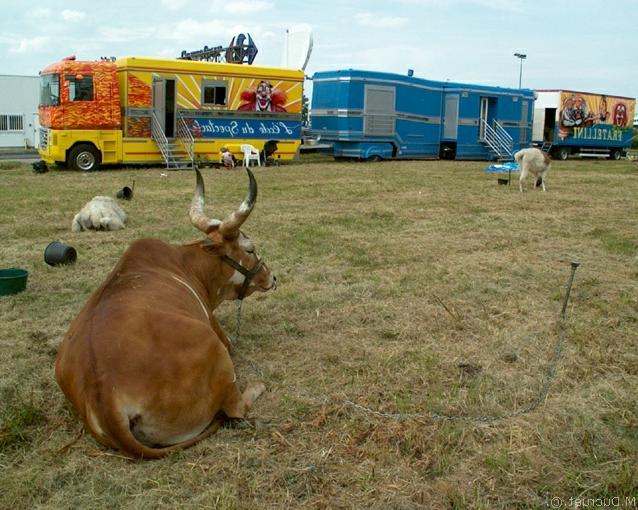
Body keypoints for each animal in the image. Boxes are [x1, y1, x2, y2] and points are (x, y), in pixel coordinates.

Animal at [55, 167, 276, 458]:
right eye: (250, 248)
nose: (272, 277)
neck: (187, 264)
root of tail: (106, 398)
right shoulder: (221, 336)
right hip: (215, 350)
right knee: (236, 409)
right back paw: (257, 386)